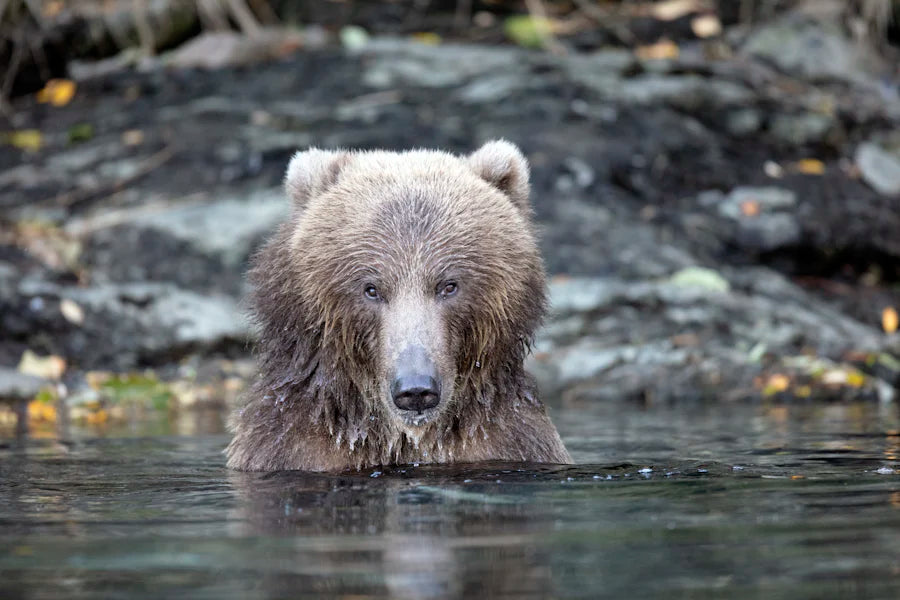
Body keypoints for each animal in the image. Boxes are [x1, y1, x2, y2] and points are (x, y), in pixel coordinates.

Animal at [229, 142, 572, 474]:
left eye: (449, 285)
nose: (416, 389)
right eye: (371, 288)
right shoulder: (295, 446)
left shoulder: (508, 441)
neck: (404, 439)